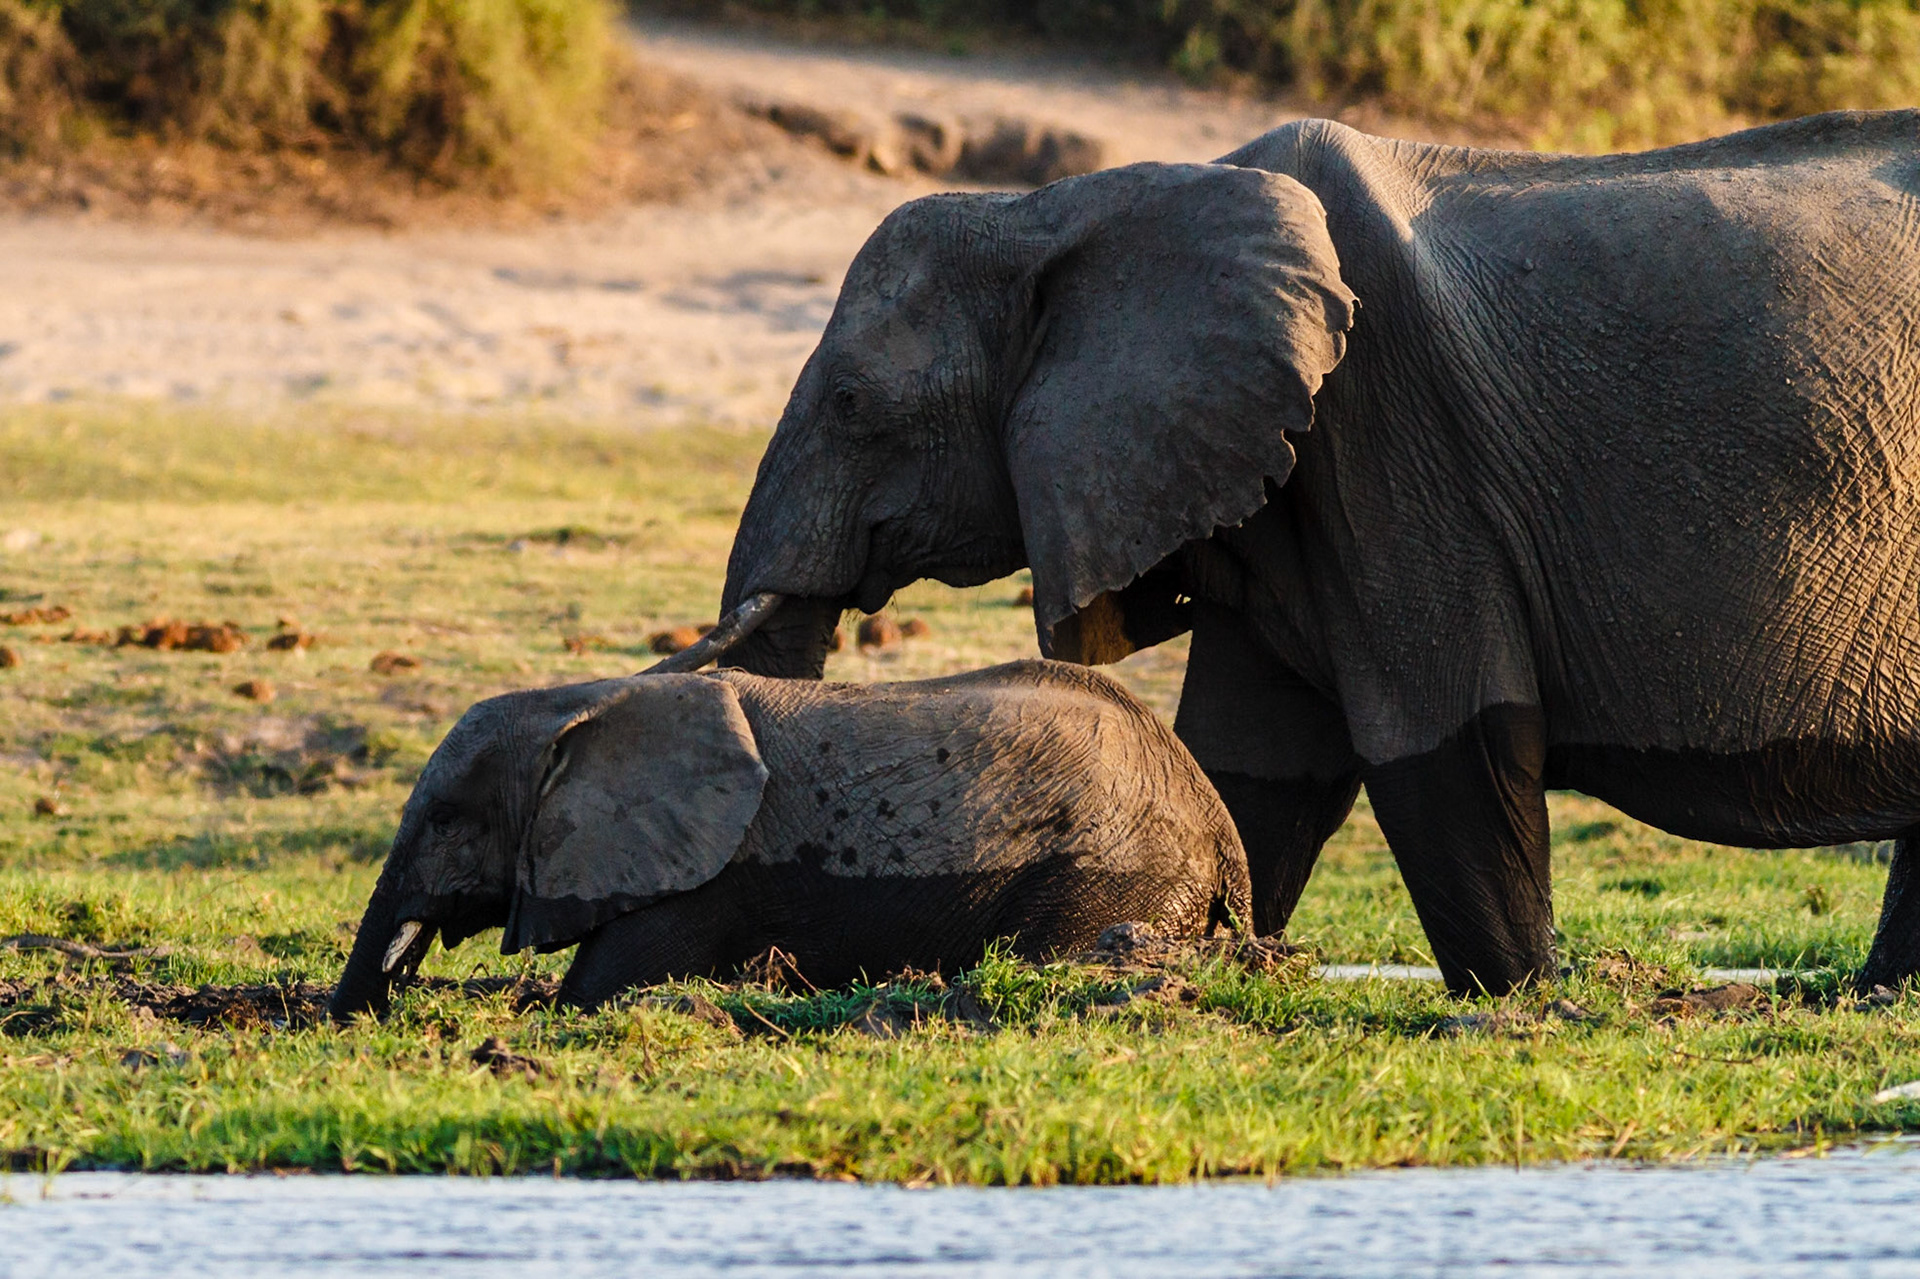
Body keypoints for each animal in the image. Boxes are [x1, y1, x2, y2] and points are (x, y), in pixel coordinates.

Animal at [329, 661, 1251, 1018]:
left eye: (447, 819)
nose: (355, 1018)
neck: (578, 700)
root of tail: (1219, 823)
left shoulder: (704, 881)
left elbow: (597, 990)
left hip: (1118, 867)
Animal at [714, 108, 1920, 995]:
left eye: (853, 404)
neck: (1071, 209)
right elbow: (1243, 766)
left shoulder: (1391, 442)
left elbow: (1446, 745)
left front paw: (1525, 1006)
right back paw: (1876, 998)